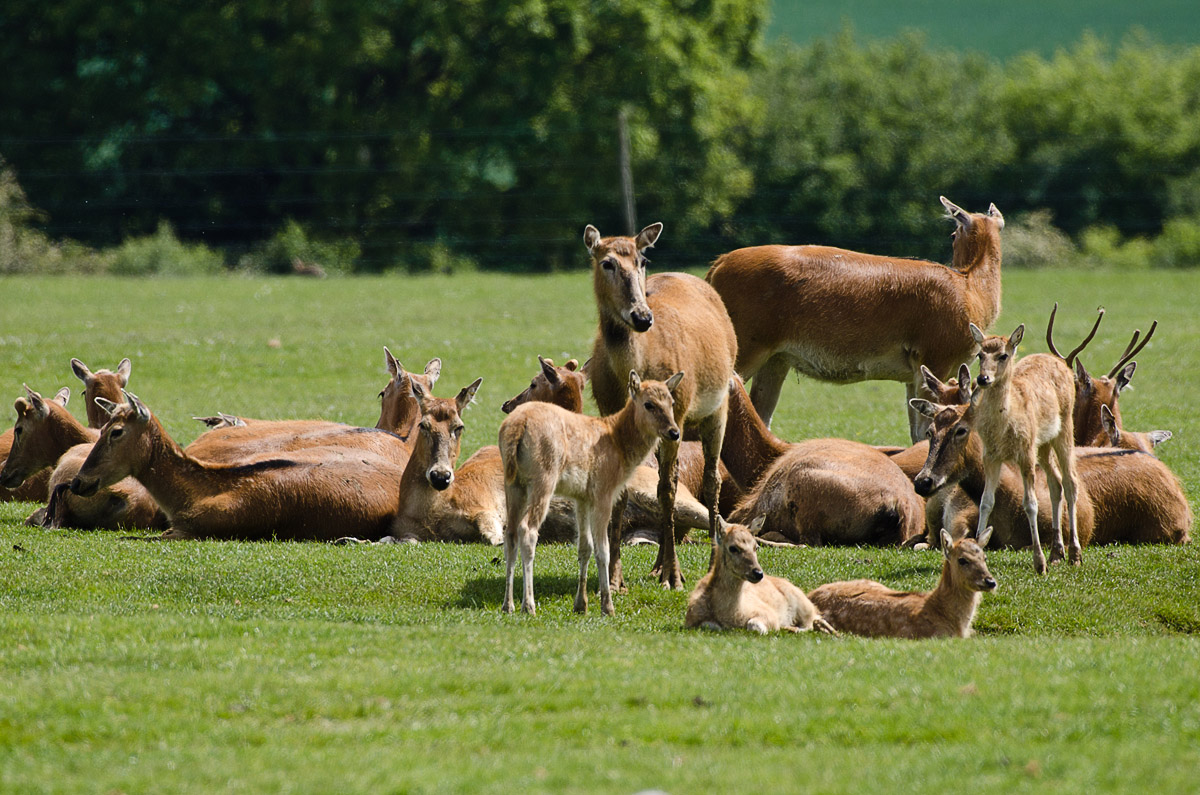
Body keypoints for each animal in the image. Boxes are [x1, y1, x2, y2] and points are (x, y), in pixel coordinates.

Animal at [500, 370, 684, 616]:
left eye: (672, 403)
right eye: (649, 404)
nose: (674, 432)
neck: (619, 445)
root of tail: (518, 425)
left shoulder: (582, 497)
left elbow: (584, 546)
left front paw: (581, 605)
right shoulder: (603, 491)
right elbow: (602, 549)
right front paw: (607, 605)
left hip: (512, 482)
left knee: (510, 533)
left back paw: (508, 605)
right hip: (543, 476)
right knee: (527, 530)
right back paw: (528, 605)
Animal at [585, 222, 737, 590]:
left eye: (642, 260)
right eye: (607, 263)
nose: (642, 317)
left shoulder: (677, 414)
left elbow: (667, 491)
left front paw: (674, 576)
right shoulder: (609, 411)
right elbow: (623, 492)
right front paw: (615, 578)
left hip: (716, 406)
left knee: (710, 480)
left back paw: (705, 559)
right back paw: (656, 566)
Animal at [684, 516, 836, 635]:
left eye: (756, 547)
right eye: (733, 548)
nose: (758, 573)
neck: (733, 615)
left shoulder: (767, 613)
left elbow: (755, 626)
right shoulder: (691, 621)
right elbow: (710, 625)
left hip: (803, 605)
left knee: (813, 622)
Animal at [705, 196, 1004, 442]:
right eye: (953, 234)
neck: (973, 291)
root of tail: (716, 265)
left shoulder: (914, 371)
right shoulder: (935, 357)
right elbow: (924, 430)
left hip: (775, 357)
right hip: (746, 344)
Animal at [962, 321, 1080, 574]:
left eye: (1003, 355)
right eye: (979, 354)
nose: (983, 378)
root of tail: (1062, 363)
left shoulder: (1025, 452)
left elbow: (1031, 504)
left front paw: (1039, 562)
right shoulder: (990, 455)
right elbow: (986, 502)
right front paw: (976, 548)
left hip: (1065, 428)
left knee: (1070, 481)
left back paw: (1075, 554)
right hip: (1042, 444)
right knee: (1055, 482)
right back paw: (1057, 553)